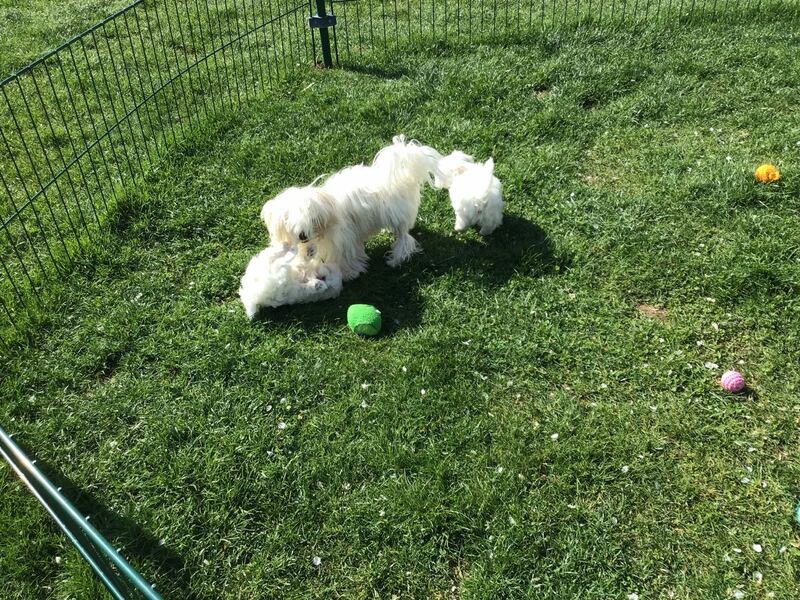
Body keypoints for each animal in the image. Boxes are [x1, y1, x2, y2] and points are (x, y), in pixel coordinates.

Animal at [260, 135, 443, 281]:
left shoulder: (343, 239)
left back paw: (396, 259)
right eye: (287, 218)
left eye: (312, 217)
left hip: (396, 216)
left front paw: (349, 273)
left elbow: (345, 257)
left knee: (404, 238)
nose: (302, 235)